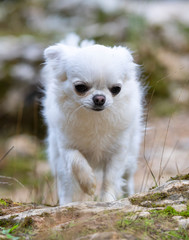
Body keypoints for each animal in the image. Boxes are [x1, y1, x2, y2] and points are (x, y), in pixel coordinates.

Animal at [42, 36, 143, 205]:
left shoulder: (118, 151)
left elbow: (110, 179)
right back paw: (66, 204)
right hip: (58, 162)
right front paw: (88, 183)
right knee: (66, 186)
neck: (95, 119)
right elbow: (76, 161)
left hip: (131, 155)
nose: (100, 98)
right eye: (80, 87)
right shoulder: (66, 146)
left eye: (116, 89)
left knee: (127, 179)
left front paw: (107, 200)